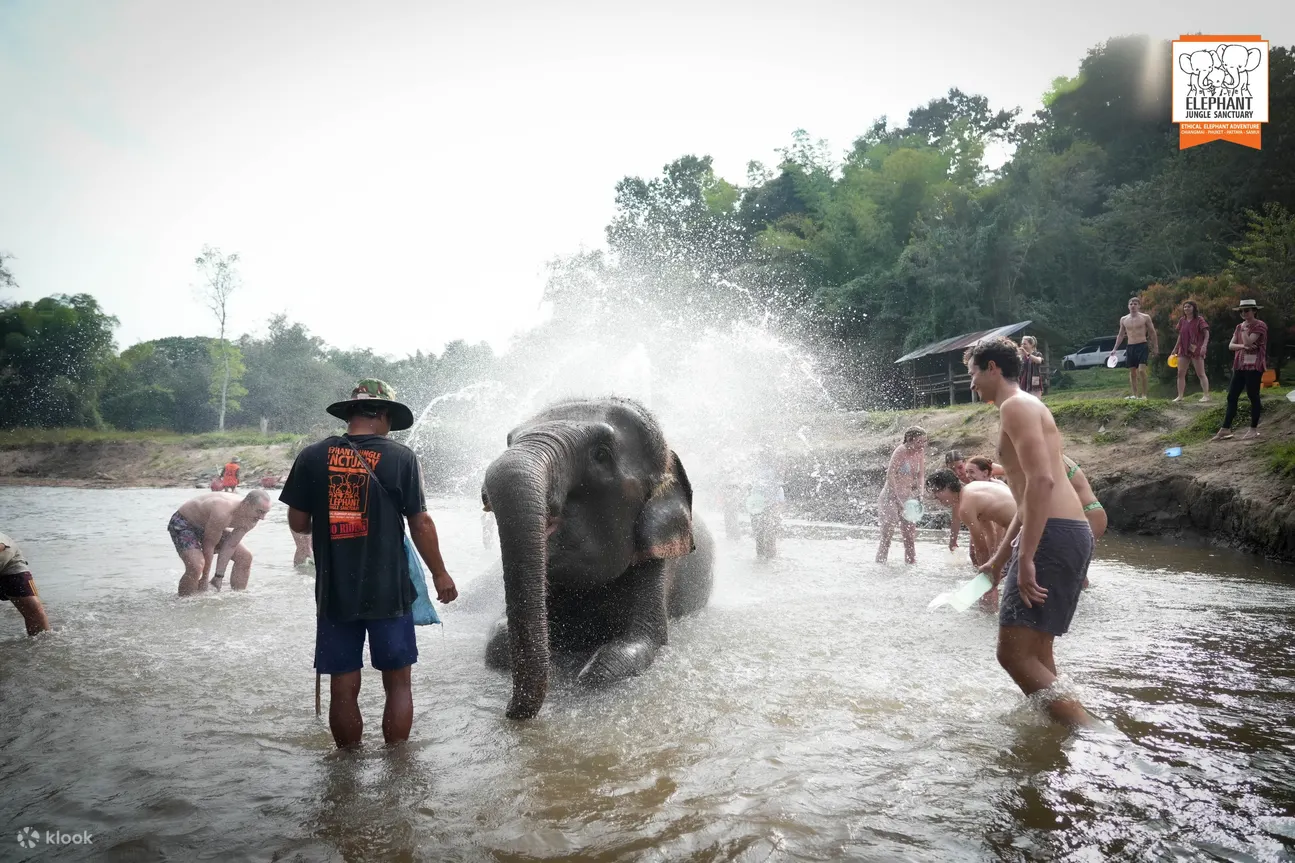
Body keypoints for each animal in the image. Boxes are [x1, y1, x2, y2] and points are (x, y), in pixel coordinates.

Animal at [481, 396, 714, 720]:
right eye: (509, 440)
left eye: (601, 454)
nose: (509, 712)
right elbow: (496, 643)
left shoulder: (659, 562)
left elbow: (638, 644)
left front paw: (587, 673)